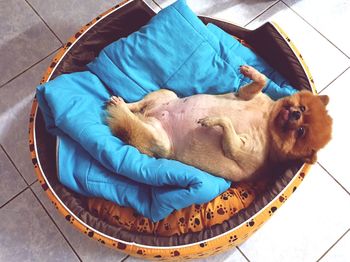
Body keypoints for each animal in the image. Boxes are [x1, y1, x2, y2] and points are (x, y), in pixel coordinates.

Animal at [105, 65, 332, 182]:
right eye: (302, 108)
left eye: (301, 131)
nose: (295, 113)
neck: (268, 119)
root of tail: (148, 115)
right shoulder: (245, 94)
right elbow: (262, 81)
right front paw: (250, 72)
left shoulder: (236, 148)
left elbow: (226, 124)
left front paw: (211, 120)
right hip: (166, 94)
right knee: (139, 105)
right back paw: (125, 103)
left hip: (160, 140)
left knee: (134, 122)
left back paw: (123, 109)